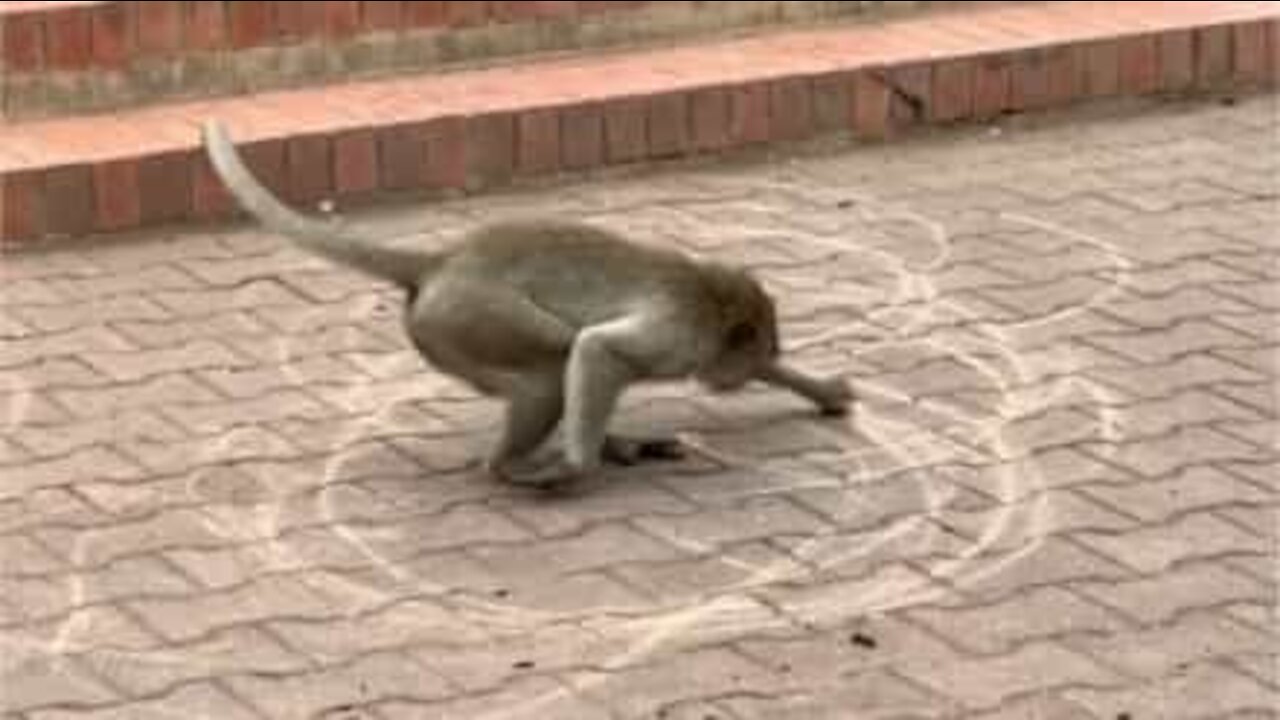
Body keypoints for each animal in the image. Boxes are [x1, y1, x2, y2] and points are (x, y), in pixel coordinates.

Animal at [204, 119, 855, 486]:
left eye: (765, 354)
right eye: (746, 357)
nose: (742, 375)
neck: (711, 300)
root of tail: (442, 262)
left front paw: (822, 390)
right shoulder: (680, 332)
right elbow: (599, 350)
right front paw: (575, 465)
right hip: (466, 318)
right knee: (552, 362)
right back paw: (517, 465)